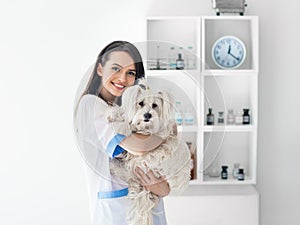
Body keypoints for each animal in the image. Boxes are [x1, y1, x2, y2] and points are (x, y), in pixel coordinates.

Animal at [109, 80, 191, 225]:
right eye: (141, 103)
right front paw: (117, 113)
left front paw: (121, 125)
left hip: (147, 162)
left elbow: (130, 126)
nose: (147, 115)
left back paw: (114, 166)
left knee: (129, 172)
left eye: (155, 105)